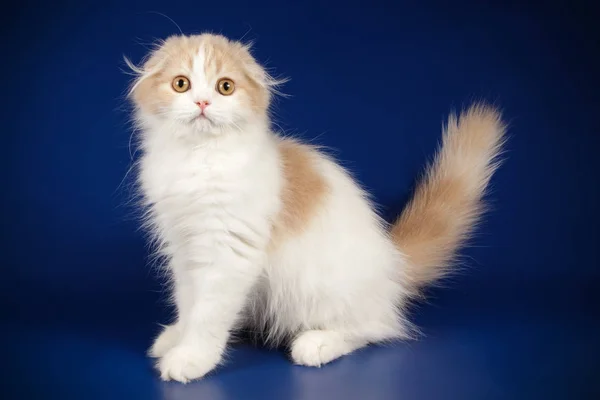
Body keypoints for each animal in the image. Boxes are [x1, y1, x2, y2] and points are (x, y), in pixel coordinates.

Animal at [125, 32, 506, 382]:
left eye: (225, 87)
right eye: (181, 84)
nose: (203, 102)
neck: (198, 159)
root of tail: (394, 263)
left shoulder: (228, 251)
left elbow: (208, 313)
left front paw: (192, 357)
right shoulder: (183, 246)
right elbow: (188, 300)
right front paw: (177, 337)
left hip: (321, 290)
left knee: (373, 328)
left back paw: (317, 344)